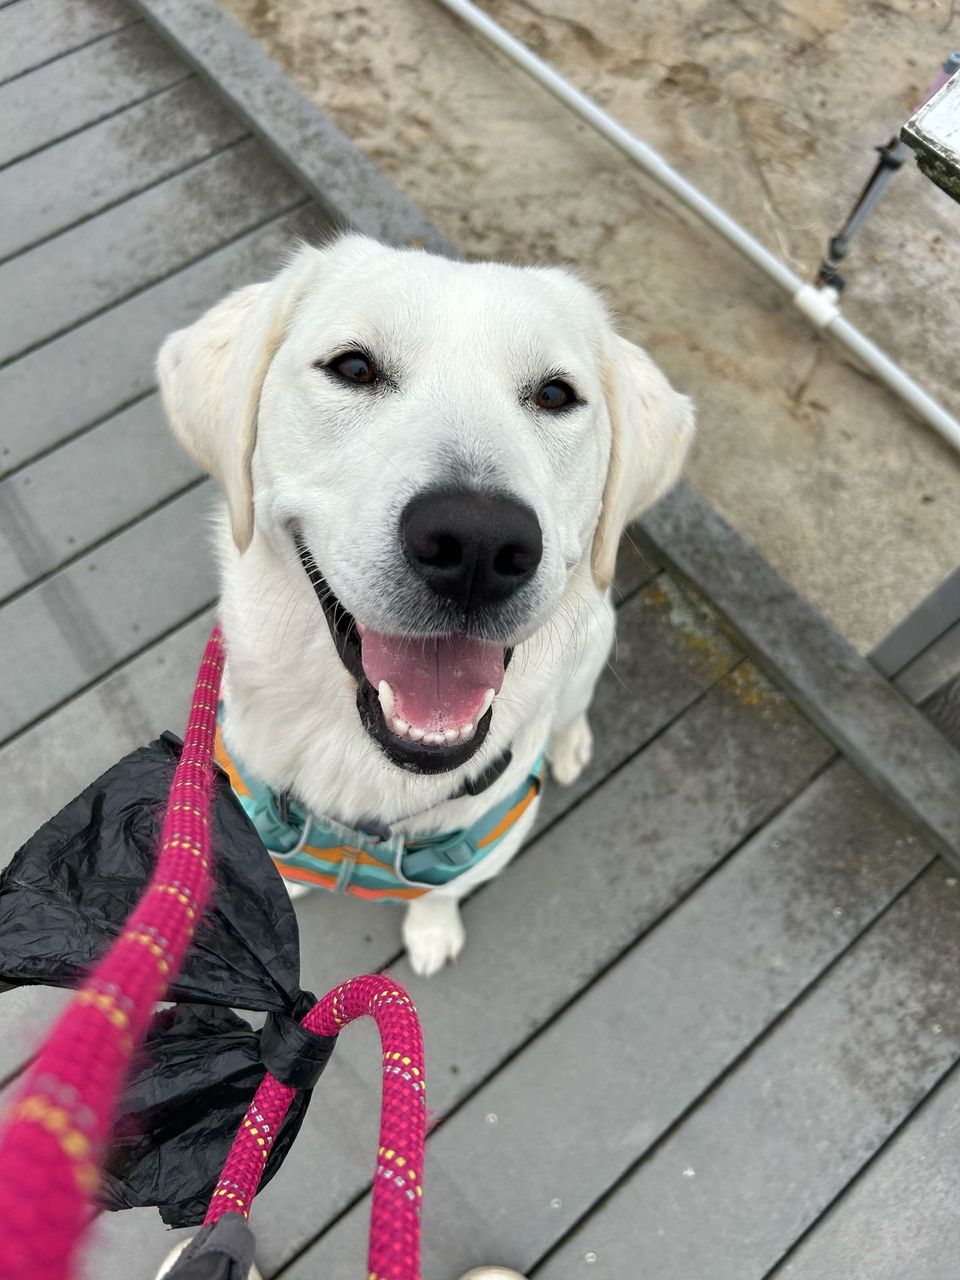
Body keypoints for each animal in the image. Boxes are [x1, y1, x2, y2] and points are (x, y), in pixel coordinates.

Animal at [157, 235, 694, 976]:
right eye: (353, 368)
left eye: (556, 394)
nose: (477, 543)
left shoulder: (478, 851)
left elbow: (441, 893)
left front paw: (432, 930)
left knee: (572, 709)